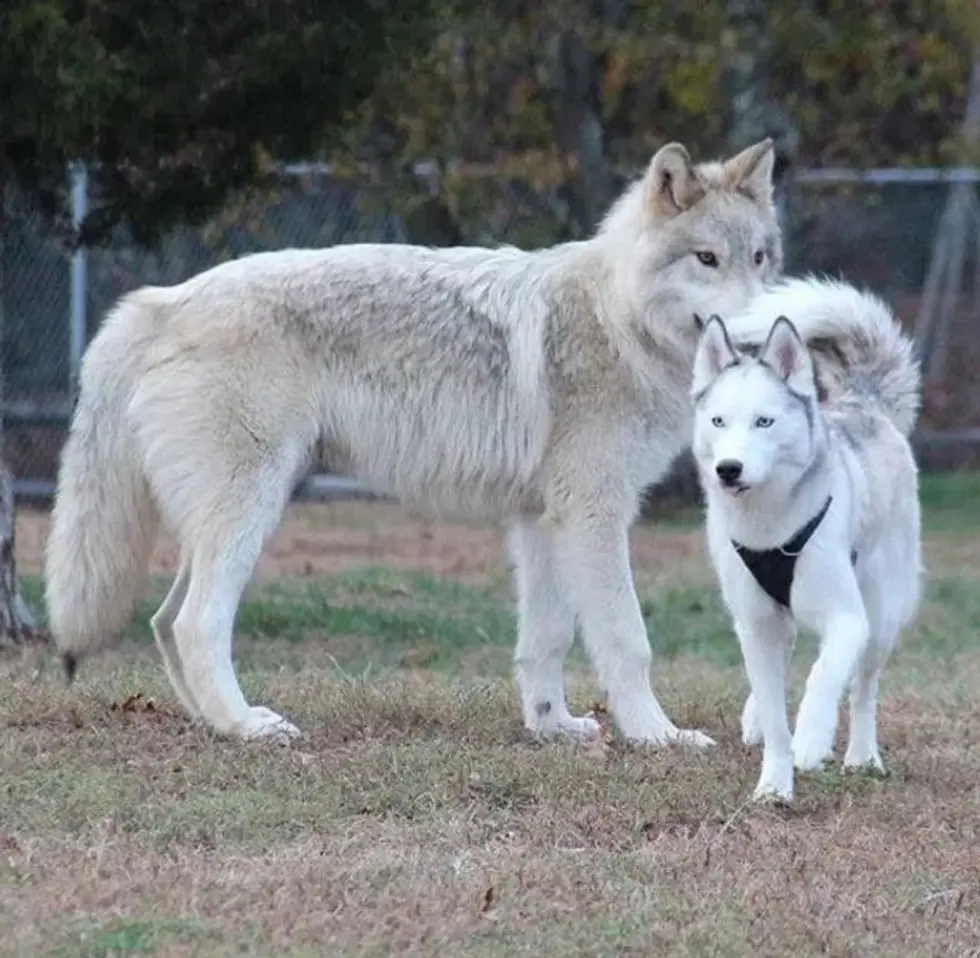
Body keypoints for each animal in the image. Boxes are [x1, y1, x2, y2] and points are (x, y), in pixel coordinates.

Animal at [44, 139, 780, 748]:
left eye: (759, 258)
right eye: (707, 258)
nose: (756, 332)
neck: (618, 321)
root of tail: (160, 300)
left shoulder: (542, 520)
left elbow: (544, 641)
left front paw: (554, 727)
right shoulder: (594, 515)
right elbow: (629, 639)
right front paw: (659, 735)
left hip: (225, 518)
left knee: (164, 621)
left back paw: (214, 724)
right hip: (250, 509)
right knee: (196, 623)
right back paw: (249, 726)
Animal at [684, 278, 924, 804]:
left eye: (764, 422)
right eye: (718, 422)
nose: (728, 469)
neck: (768, 527)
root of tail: (864, 403)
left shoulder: (847, 619)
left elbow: (824, 676)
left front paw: (812, 740)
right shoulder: (755, 626)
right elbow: (776, 715)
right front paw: (775, 785)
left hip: (881, 615)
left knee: (863, 688)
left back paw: (862, 756)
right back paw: (757, 716)